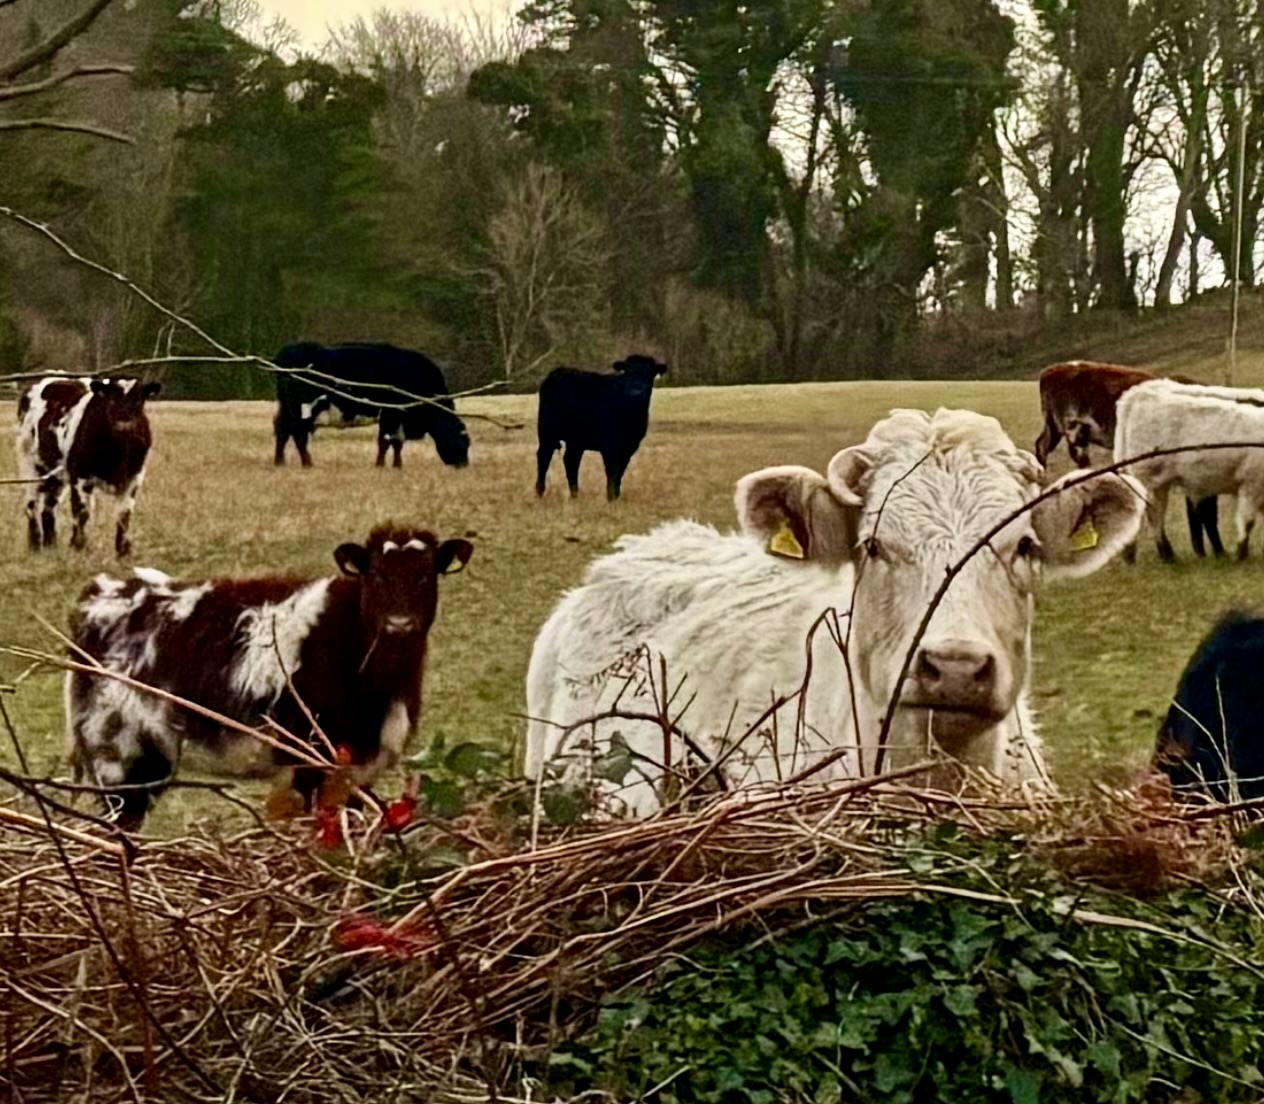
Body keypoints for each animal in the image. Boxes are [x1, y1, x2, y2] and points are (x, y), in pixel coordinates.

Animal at [16, 376, 161, 558]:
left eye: (139, 400)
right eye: (111, 399)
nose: (124, 426)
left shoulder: (134, 478)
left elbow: (124, 515)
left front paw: (123, 552)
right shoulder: (80, 476)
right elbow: (82, 512)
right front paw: (78, 547)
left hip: (56, 476)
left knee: (48, 509)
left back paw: (51, 547)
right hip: (30, 464)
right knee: (32, 505)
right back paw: (35, 546)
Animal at [66, 524, 473, 828]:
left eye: (427, 575)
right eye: (375, 574)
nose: (399, 624)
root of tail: (100, 596)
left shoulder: (358, 770)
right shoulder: (308, 762)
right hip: (119, 757)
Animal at [272, 342, 470, 469]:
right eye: (464, 441)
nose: (464, 465)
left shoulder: (399, 418)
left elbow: (397, 442)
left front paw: (397, 466)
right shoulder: (390, 413)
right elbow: (385, 441)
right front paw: (380, 465)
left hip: (286, 407)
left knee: (282, 429)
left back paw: (280, 462)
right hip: (303, 408)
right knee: (298, 434)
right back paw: (308, 464)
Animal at [535, 354, 668, 500]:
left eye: (649, 374)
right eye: (627, 372)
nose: (635, 392)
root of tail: (558, 372)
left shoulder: (629, 446)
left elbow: (620, 472)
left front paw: (616, 497)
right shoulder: (609, 445)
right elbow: (612, 471)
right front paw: (611, 498)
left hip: (576, 439)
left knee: (571, 460)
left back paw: (575, 495)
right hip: (546, 431)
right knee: (544, 457)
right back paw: (539, 493)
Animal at [1115, 378, 1264, 563]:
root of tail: (1139, 393)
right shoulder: (1252, 484)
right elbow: (1247, 522)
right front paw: (1240, 555)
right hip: (1151, 483)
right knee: (1155, 517)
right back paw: (1167, 556)